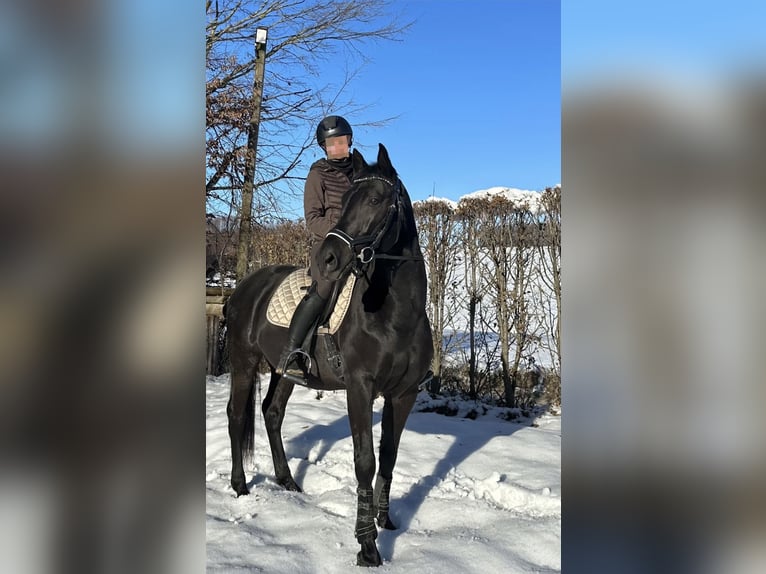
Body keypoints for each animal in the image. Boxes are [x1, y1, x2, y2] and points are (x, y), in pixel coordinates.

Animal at [224, 143, 433, 567]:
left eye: (375, 199)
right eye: (346, 200)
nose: (329, 259)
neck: (396, 315)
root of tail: (245, 287)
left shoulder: (404, 394)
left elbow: (389, 456)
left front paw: (386, 523)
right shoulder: (359, 387)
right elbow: (365, 461)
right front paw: (367, 547)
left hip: (283, 371)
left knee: (272, 412)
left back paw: (287, 480)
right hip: (243, 363)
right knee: (238, 416)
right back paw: (240, 486)